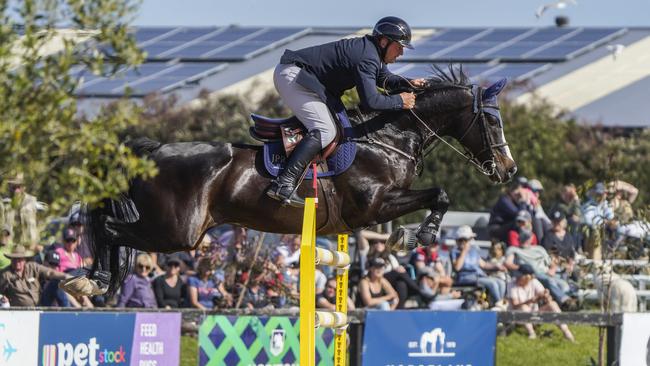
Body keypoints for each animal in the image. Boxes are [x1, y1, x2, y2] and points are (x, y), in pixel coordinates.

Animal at [66, 67, 516, 296]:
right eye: (492, 122)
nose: (509, 169)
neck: (386, 137)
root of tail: (151, 151)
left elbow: (439, 194)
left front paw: (410, 235)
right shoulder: (373, 206)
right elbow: (440, 193)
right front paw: (412, 237)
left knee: (111, 228)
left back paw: (95, 280)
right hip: (177, 231)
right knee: (110, 228)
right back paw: (91, 280)